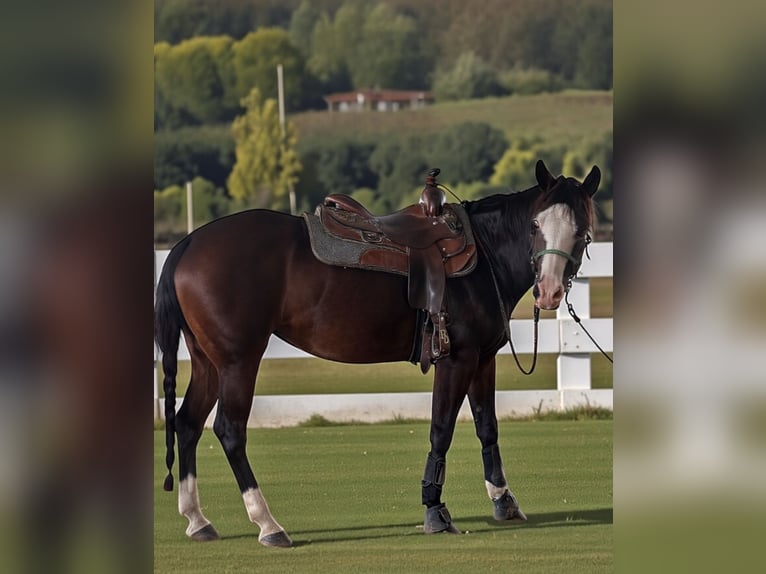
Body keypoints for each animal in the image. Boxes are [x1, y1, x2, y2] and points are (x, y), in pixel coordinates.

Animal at [154, 159, 600, 547]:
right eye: (535, 224)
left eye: (582, 230)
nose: (549, 291)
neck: (484, 256)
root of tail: (187, 243)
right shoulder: (457, 360)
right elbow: (441, 429)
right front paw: (435, 510)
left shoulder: (483, 359)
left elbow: (487, 426)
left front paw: (504, 501)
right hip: (239, 360)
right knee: (229, 430)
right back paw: (268, 524)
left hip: (208, 361)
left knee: (188, 423)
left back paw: (198, 520)